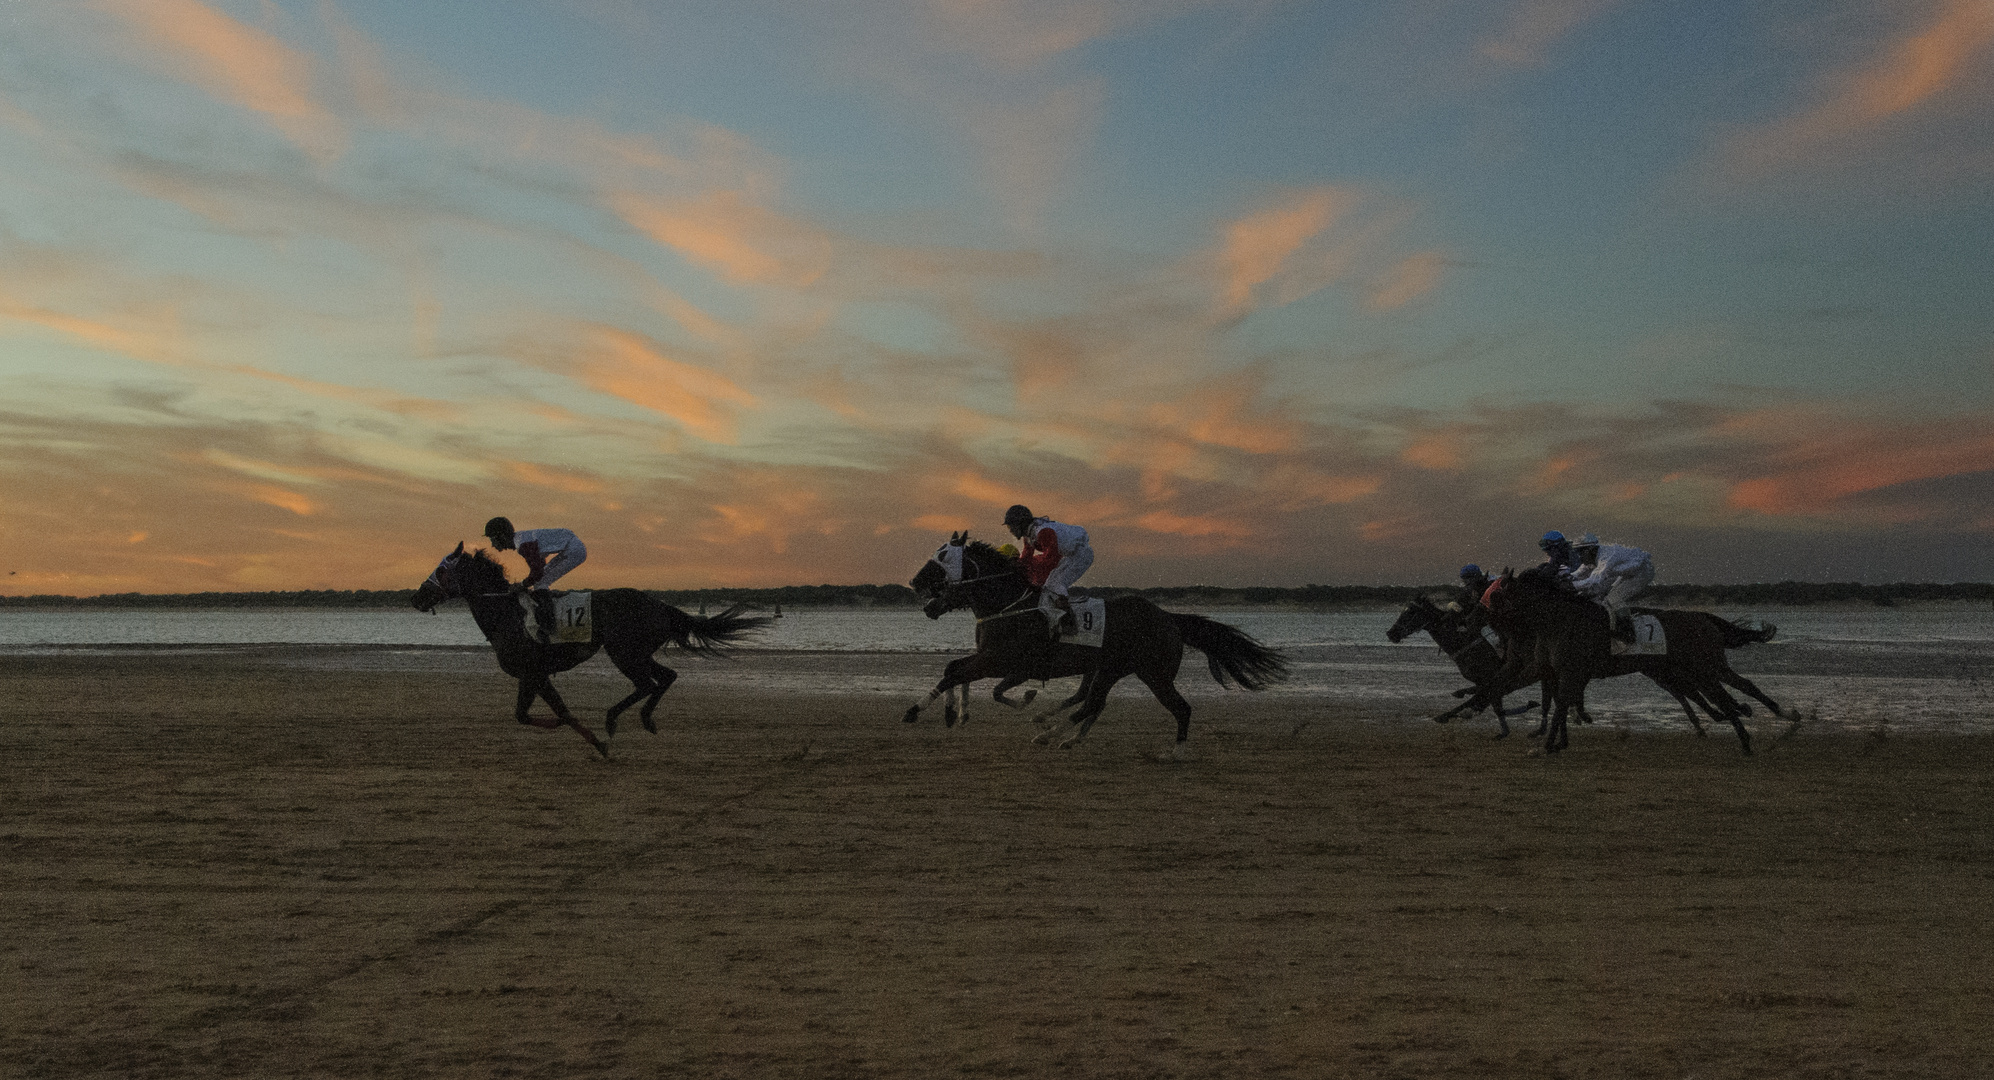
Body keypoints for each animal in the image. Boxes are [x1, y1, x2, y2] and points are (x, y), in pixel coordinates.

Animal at [408, 545, 765, 757]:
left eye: (441, 570)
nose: (416, 597)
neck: (507, 615)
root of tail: (660, 605)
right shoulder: (537, 676)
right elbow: (555, 713)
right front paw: (593, 740)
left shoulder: (531, 674)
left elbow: (530, 714)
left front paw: (585, 734)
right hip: (637, 653)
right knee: (666, 677)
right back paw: (645, 719)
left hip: (624, 653)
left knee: (647, 684)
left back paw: (613, 719)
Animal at [909, 530, 1292, 753]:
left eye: (943, 556)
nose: (915, 583)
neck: (1009, 604)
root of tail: (1169, 617)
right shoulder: (994, 659)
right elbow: (958, 671)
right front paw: (954, 714)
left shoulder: (1003, 660)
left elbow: (962, 673)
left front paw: (917, 711)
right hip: (1109, 669)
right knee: (1094, 702)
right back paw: (1059, 733)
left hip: (1153, 673)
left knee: (1177, 707)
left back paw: (1173, 751)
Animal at [1483, 569, 1794, 757]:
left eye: (1496, 593)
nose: (1485, 620)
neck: (1560, 620)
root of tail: (1703, 618)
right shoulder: (1559, 673)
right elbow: (1563, 703)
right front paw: (1557, 742)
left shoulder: (1571, 672)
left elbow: (1561, 706)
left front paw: (1548, 745)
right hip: (1693, 669)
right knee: (1727, 694)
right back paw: (1762, 725)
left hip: (1706, 667)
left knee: (1732, 693)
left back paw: (1766, 727)